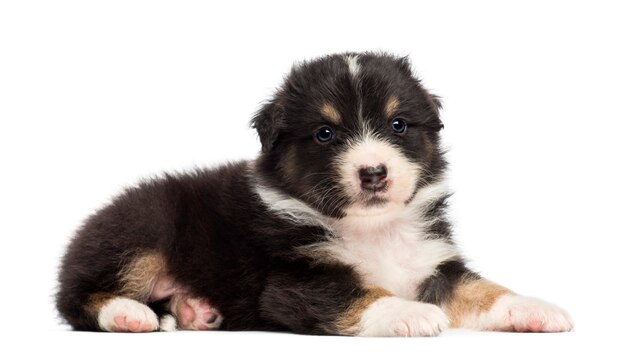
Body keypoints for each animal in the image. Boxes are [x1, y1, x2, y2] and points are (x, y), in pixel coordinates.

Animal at [57, 51, 572, 336]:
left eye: (398, 125)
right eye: (326, 134)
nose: (374, 173)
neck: (373, 230)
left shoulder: (432, 264)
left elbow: (481, 288)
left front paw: (535, 308)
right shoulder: (294, 282)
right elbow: (357, 295)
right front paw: (411, 313)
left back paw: (193, 309)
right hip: (143, 230)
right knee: (75, 298)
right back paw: (129, 314)